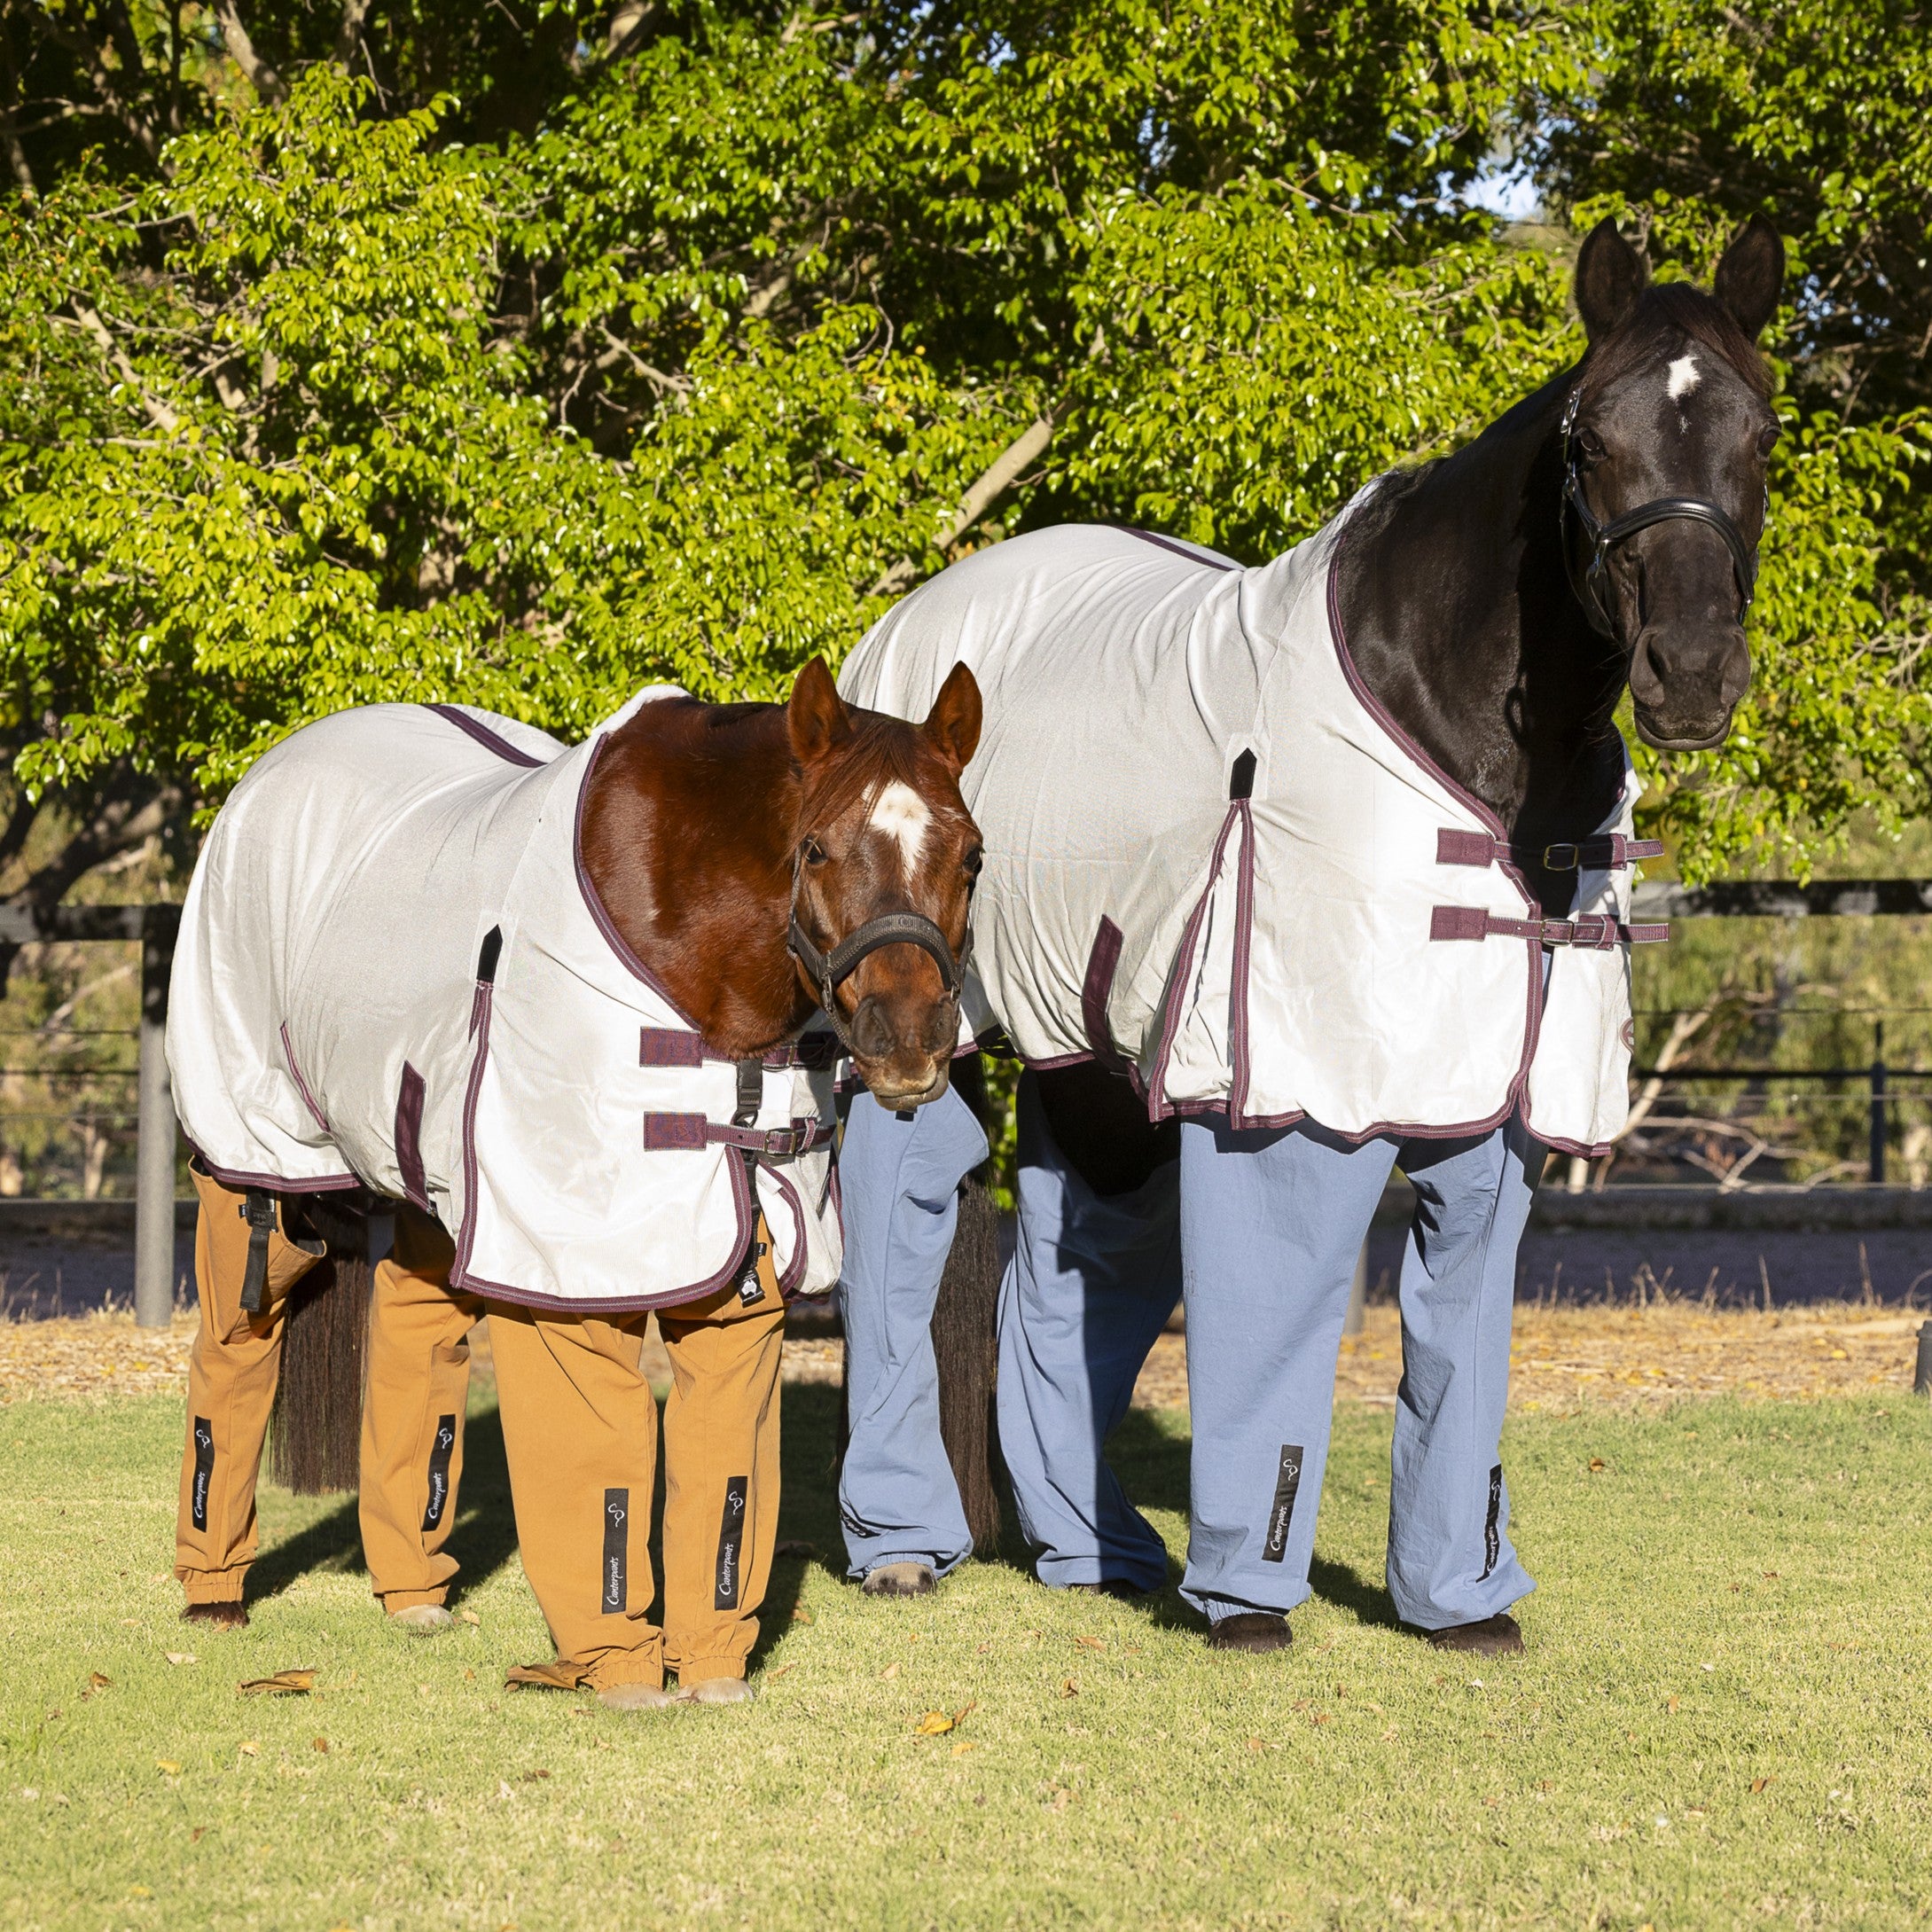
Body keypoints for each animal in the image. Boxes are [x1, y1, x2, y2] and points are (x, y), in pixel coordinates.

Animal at [168, 659, 981, 1703]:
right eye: (817, 847)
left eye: (970, 855)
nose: (908, 1042)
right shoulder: (563, 1263)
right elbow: (594, 1459)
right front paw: (620, 1669)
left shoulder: (738, 1264)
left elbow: (726, 1474)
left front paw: (712, 1670)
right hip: (262, 1163)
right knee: (235, 1342)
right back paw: (213, 1590)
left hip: (428, 1180)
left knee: (414, 1339)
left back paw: (412, 1594)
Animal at [835, 216, 1783, 1646]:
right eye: (1589, 437)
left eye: (1761, 429)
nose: (1691, 672)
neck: (1452, 709)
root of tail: (901, 634)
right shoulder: (1289, 1091)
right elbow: (1272, 1295)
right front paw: (1242, 1602)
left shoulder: (1490, 1107)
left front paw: (1463, 1603)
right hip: (923, 1023)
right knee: (902, 1197)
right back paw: (901, 1543)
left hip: (1095, 1052)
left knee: (1072, 1257)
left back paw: (1096, 1550)